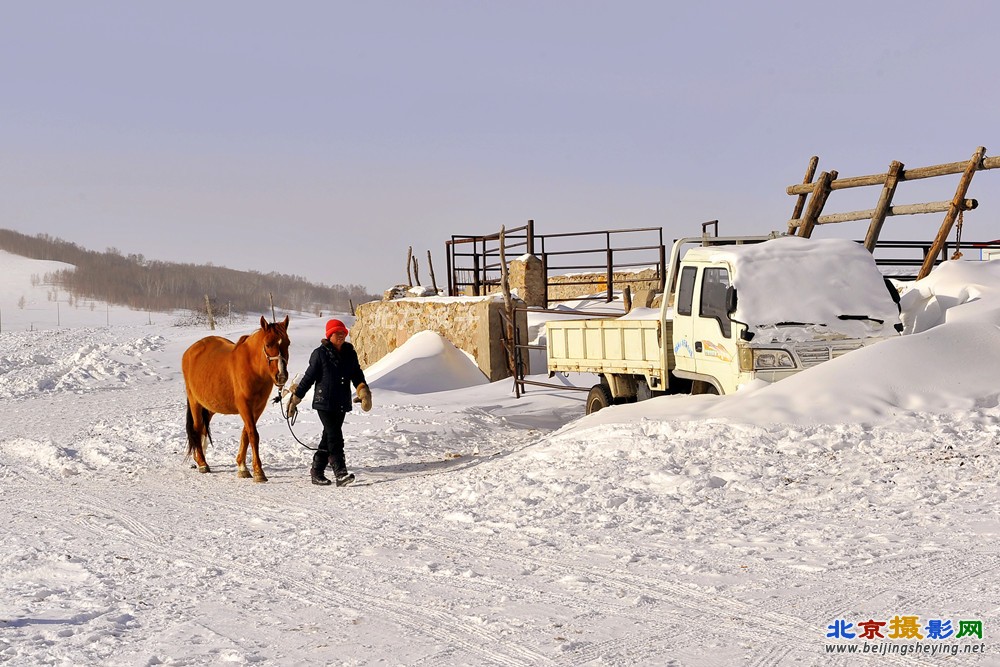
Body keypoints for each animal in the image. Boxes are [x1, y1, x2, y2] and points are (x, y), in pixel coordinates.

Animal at [182, 316, 290, 482]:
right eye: (268, 344)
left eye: (288, 343)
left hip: (210, 406)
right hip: (195, 402)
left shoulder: (257, 408)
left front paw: (242, 467)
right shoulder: (244, 406)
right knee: (197, 428)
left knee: (203, 430)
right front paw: (258, 471)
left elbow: (246, 434)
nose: (281, 375)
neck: (253, 367)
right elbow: (253, 434)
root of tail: (190, 351)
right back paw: (202, 463)